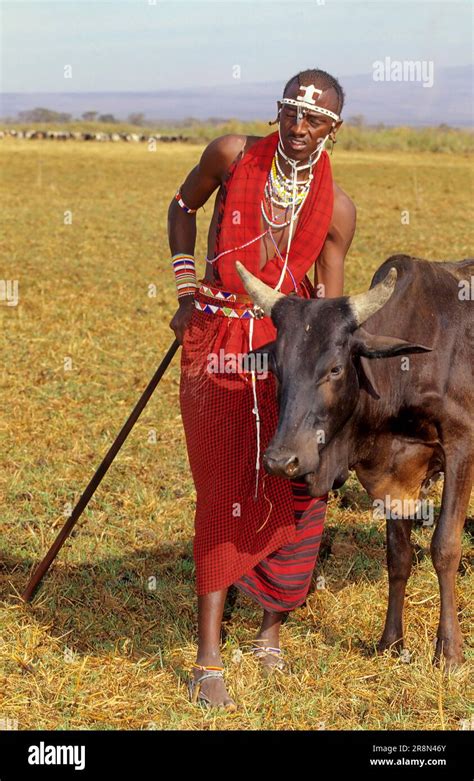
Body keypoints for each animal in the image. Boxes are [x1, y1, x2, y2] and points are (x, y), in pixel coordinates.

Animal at [237, 258, 474, 672]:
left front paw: (449, 652)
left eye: (334, 369)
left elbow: (444, 547)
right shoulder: (398, 477)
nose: (281, 460)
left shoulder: (462, 445)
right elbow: (398, 556)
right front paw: (391, 641)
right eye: (277, 367)